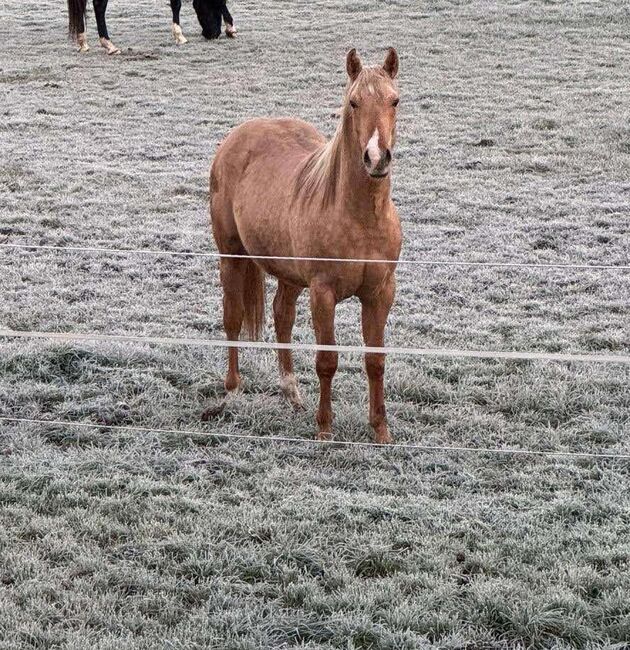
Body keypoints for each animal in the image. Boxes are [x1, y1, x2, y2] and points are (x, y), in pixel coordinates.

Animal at [66, 0, 236, 54]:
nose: (211, 34)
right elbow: (176, 4)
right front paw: (179, 35)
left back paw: (83, 42)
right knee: (99, 6)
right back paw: (109, 44)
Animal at [210, 48, 402, 442]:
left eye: (395, 100)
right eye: (353, 102)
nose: (377, 158)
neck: (361, 219)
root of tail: (238, 136)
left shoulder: (380, 292)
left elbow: (375, 360)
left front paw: (380, 430)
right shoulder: (322, 293)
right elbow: (327, 360)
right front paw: (325, 428)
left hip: (289, 274)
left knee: (281, 315)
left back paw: (291, 392)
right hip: (231, 257)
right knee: (232, 318)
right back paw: (232, 388)